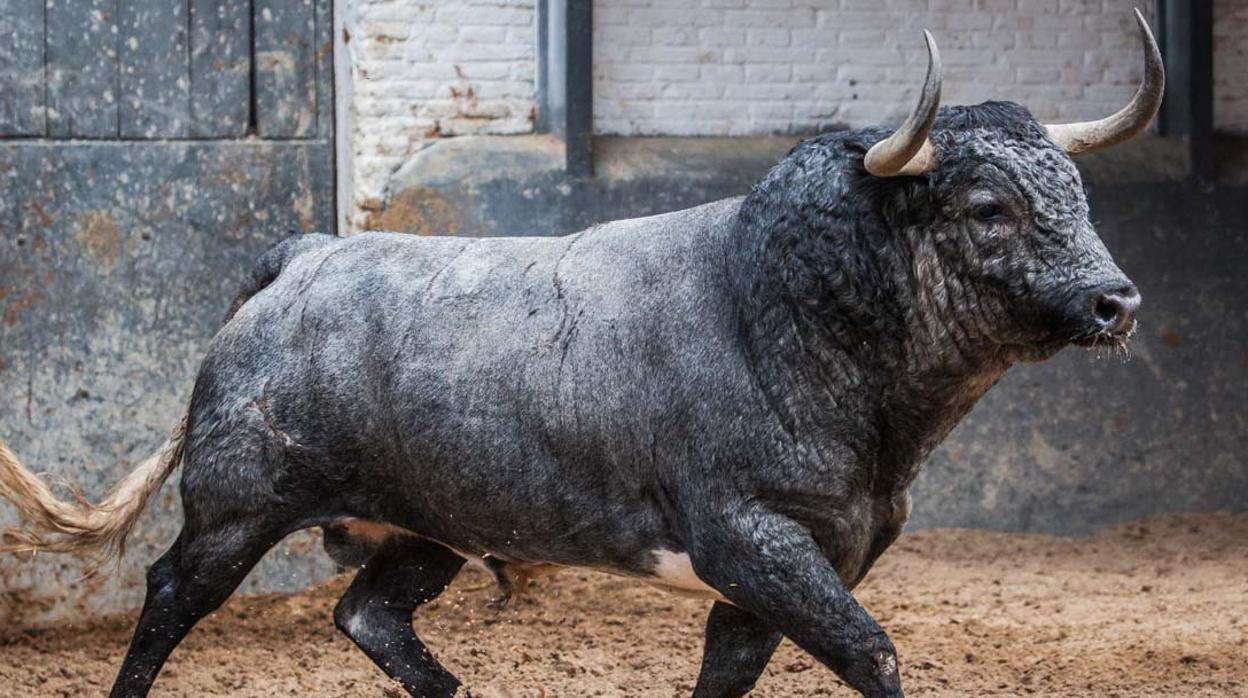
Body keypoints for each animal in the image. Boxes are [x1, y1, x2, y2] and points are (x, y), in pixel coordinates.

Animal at [4, 12, 1163, 698]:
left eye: (1077, 190)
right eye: (987, 206)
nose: (1118, 301)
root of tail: (309, 252)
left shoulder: (782, 574)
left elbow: (729, 672)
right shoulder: (753, 541)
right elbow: (873, 650)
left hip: (427, 523)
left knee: (367, 611)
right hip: (236, 506)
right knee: (167, 595)